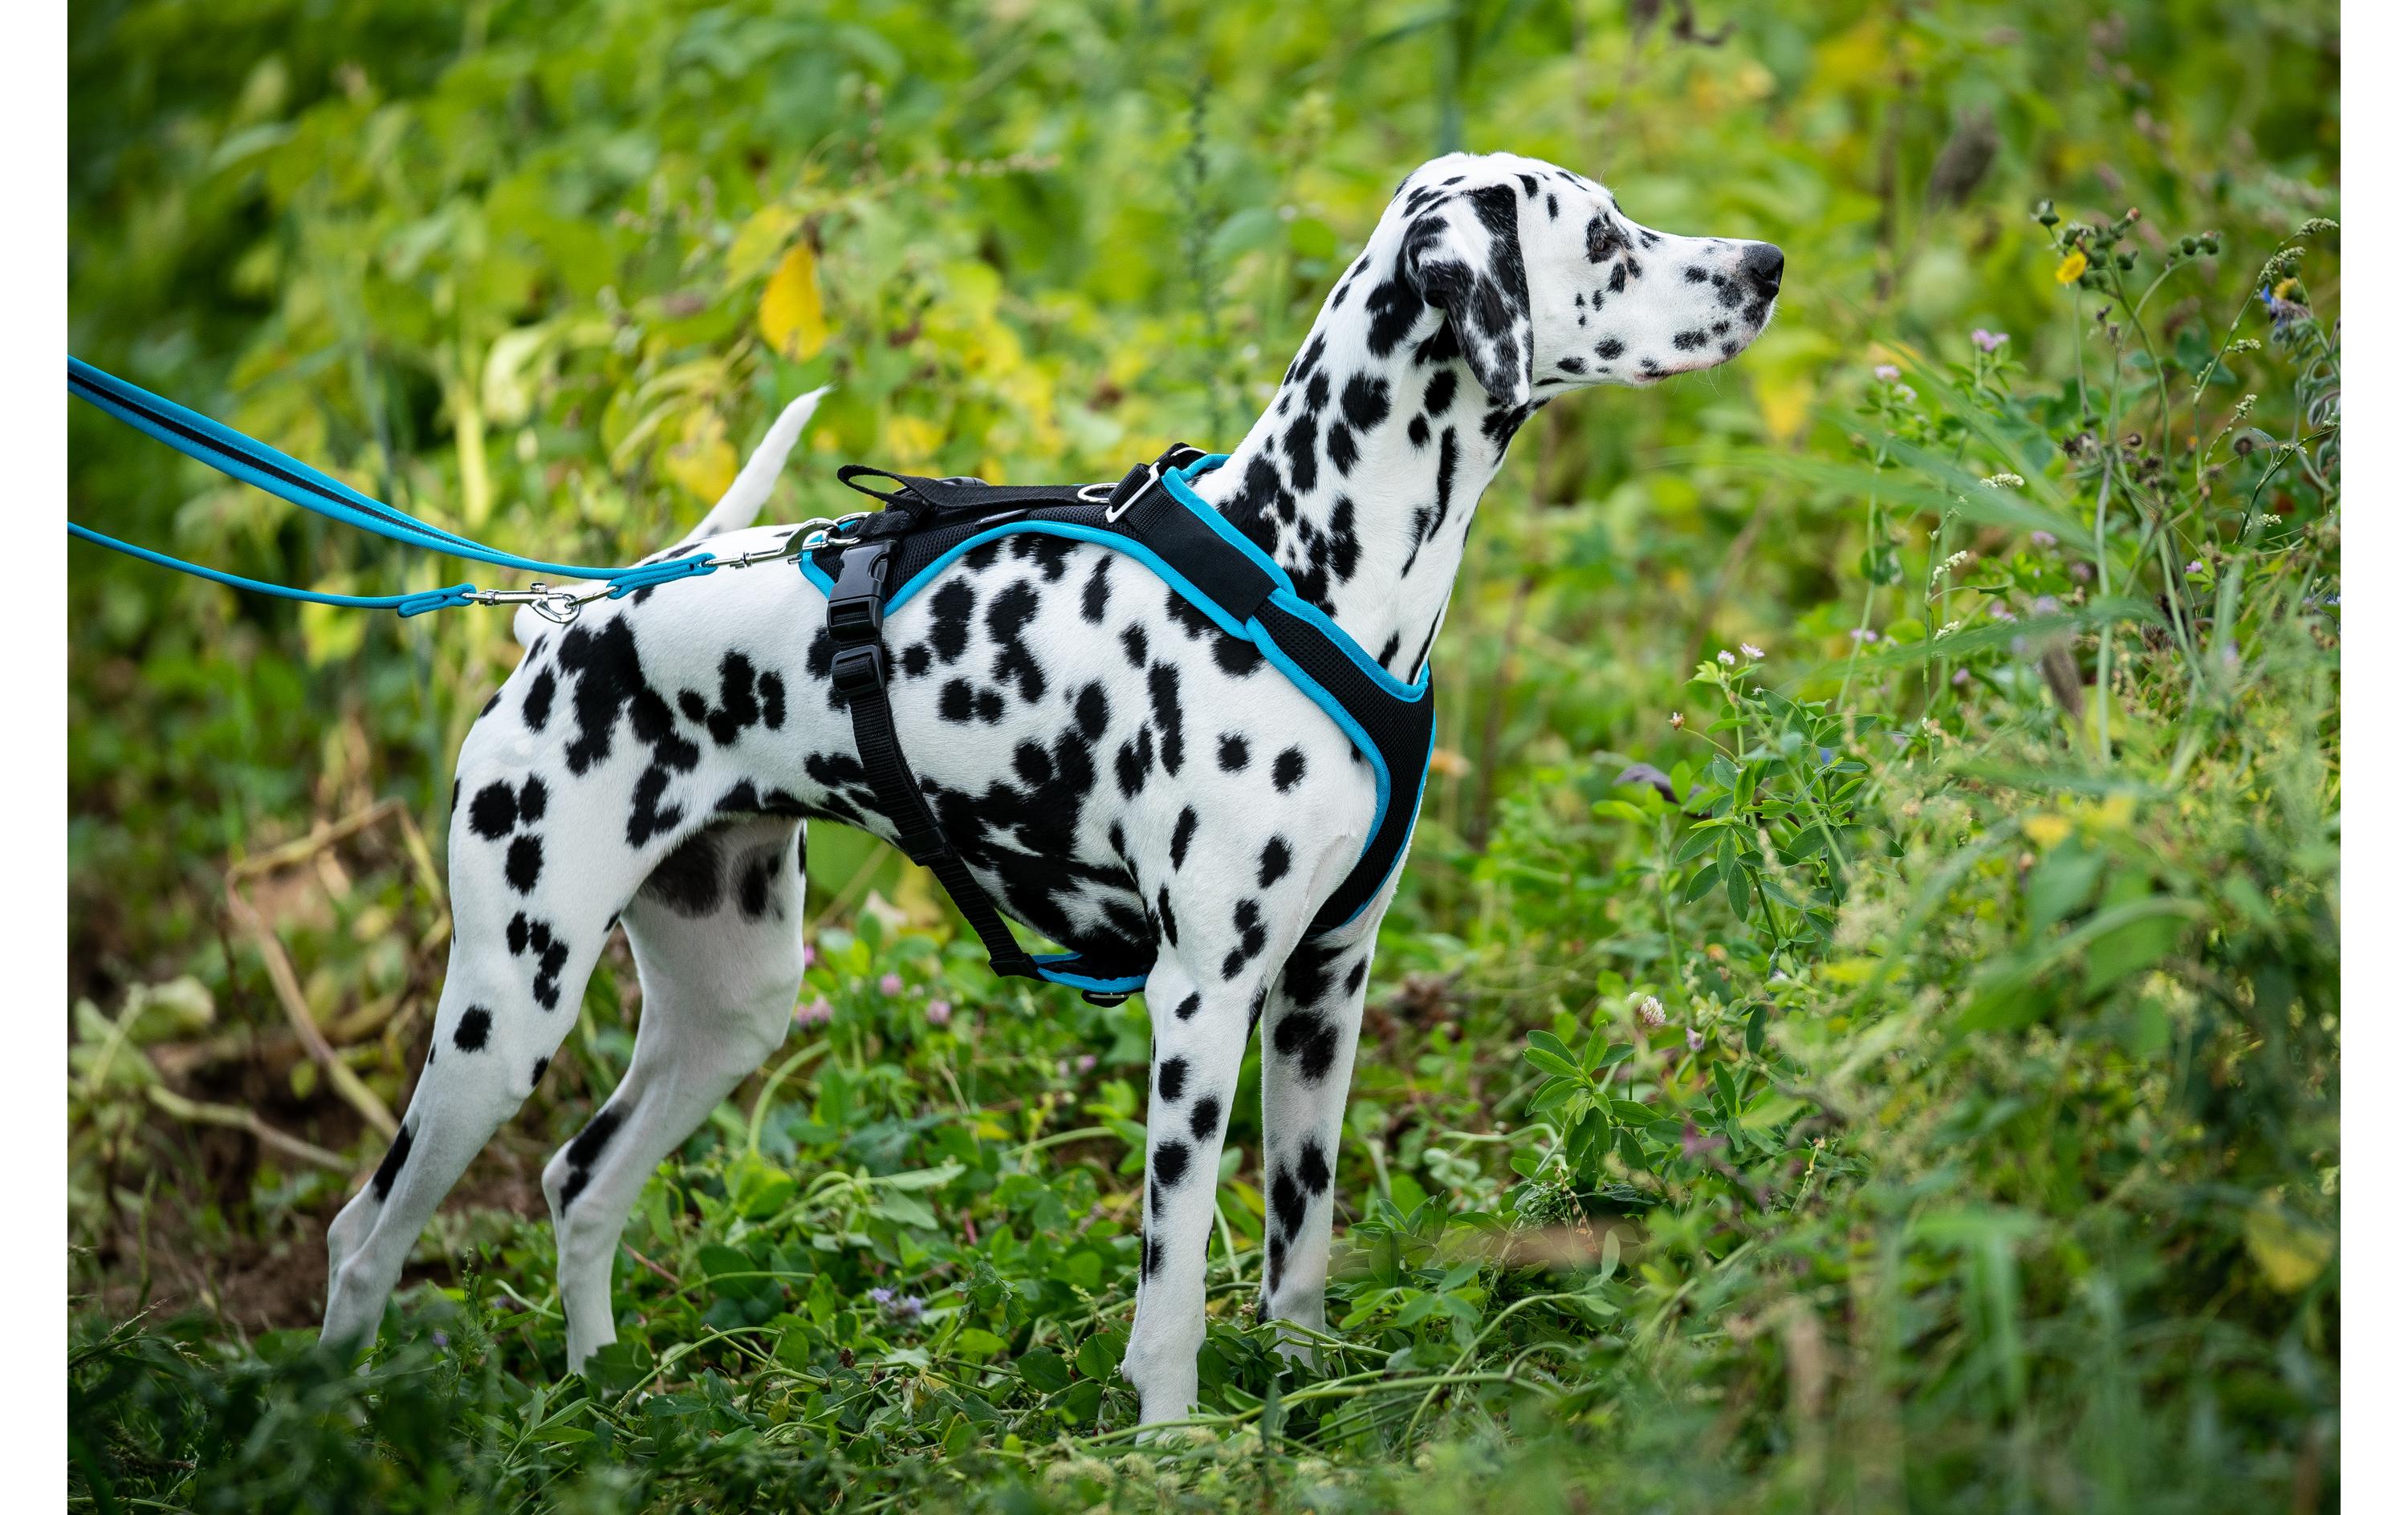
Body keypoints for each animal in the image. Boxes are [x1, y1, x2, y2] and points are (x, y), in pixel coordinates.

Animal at [320, 147, 1782, 1425]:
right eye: (1604, 236)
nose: (1766, 263)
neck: (1301, 562)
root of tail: (570, 616)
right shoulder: (1202, 1002)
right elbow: (1173, 1282)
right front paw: (1174, 1440)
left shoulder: (1323, 992)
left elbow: (1299, 1245)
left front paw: (1304, 1394)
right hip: (504, 1013)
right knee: (362, 1235)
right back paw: (344, 1420)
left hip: (730, 1007)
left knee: (581, 1182)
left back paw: (602, 1392)